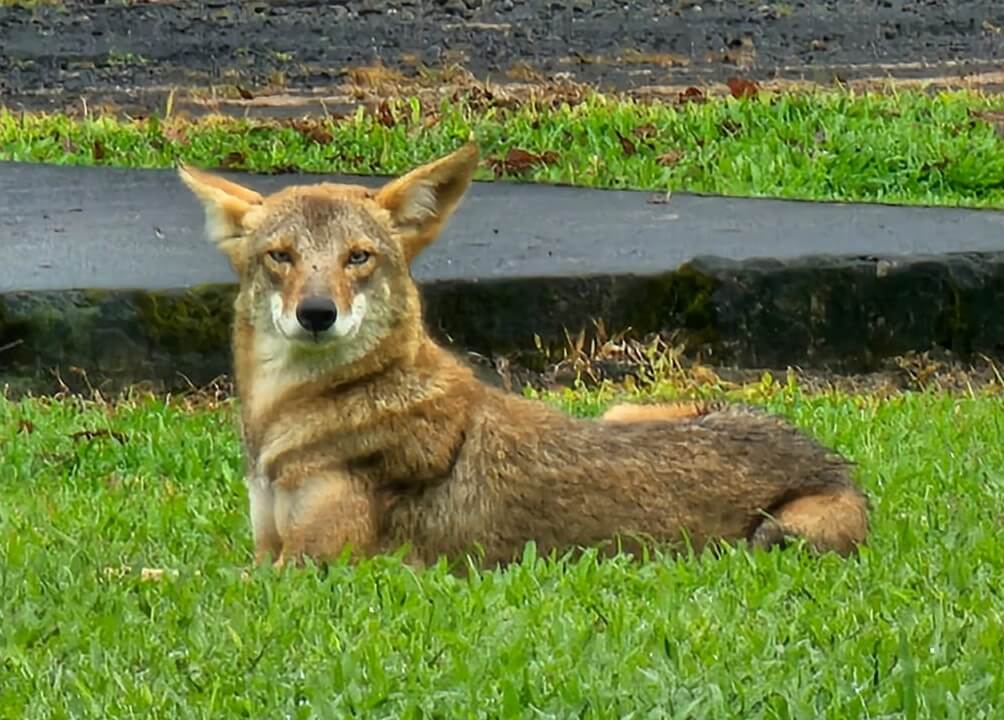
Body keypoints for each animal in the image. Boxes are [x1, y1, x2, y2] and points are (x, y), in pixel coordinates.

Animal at [177, 142, 869, 571]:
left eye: (358, 258)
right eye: (282, 256)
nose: (317, 313)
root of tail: (834, 467)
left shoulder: (309, 565)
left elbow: (168, 575)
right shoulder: (267, 550)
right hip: (620, 411)